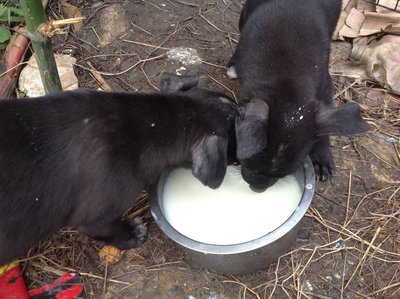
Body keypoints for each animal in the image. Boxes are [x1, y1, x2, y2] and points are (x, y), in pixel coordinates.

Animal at [227, 0, 370, 192]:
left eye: (282, 176)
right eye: (250, 166)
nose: (257, 189)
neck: (285, 85)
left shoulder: (324, 87)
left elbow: (324, 126)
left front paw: (322, 157)